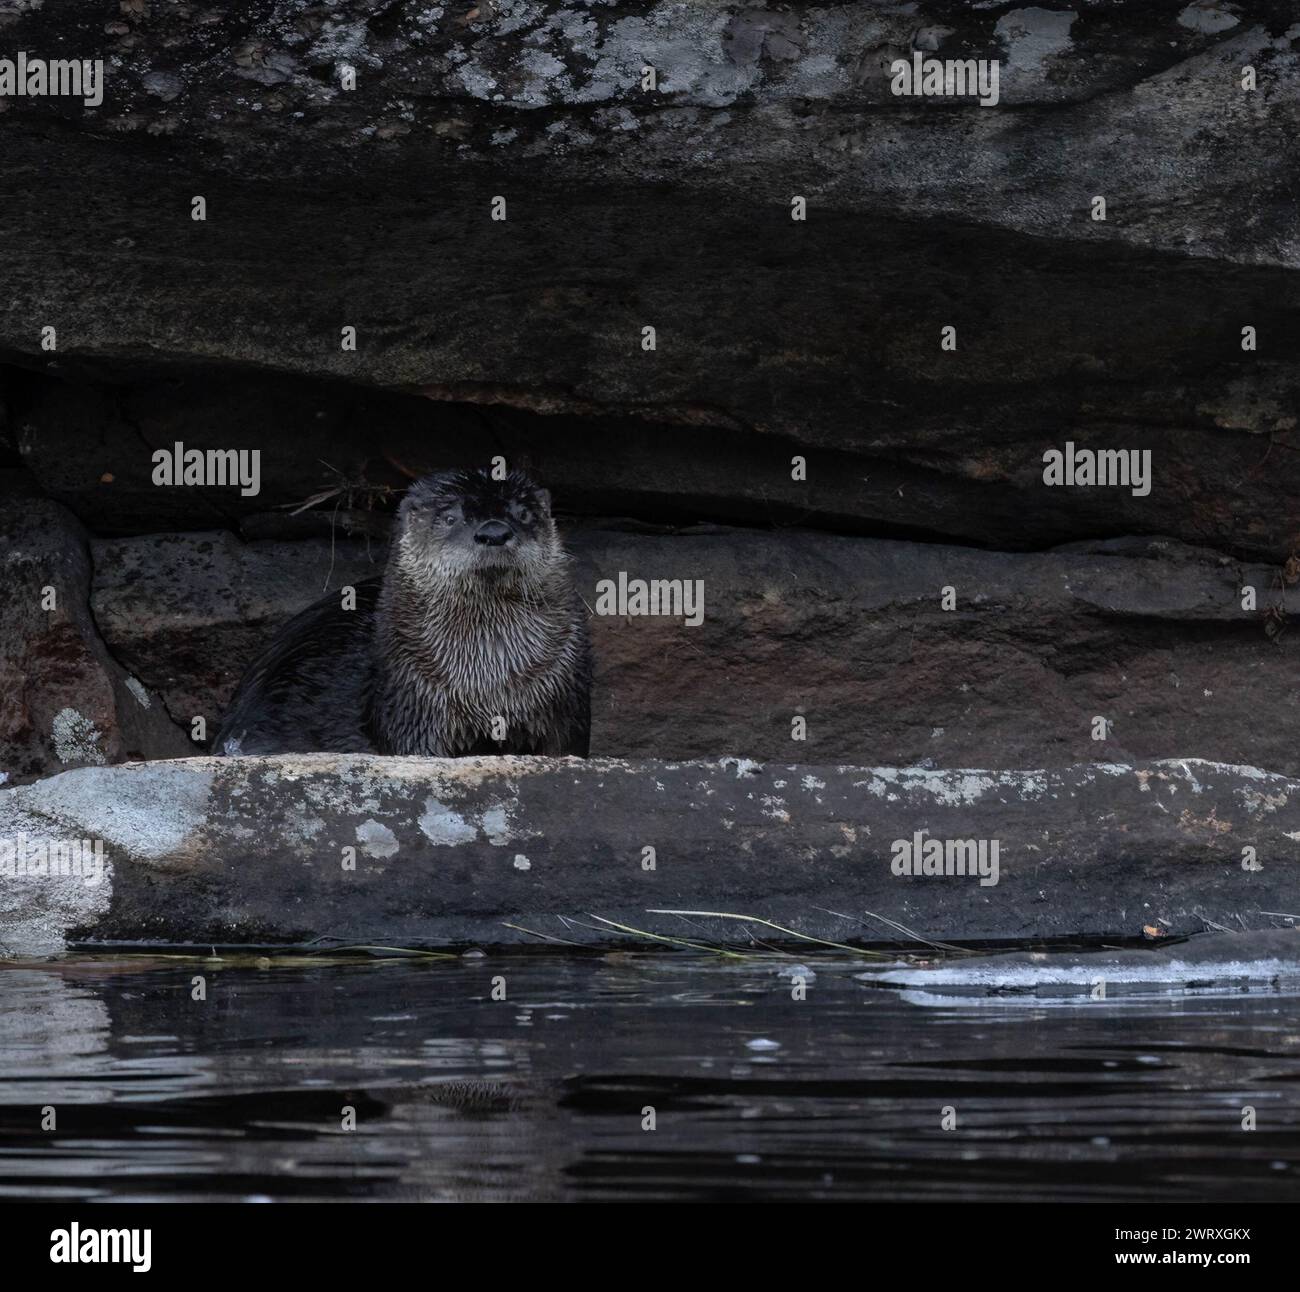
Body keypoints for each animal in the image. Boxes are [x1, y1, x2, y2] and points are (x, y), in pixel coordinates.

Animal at [214, 468, 591, 757]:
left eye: (524, 513)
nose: (494, 531)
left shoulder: (564, 704)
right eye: (450, 517)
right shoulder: (416, 710)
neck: (487, 685)